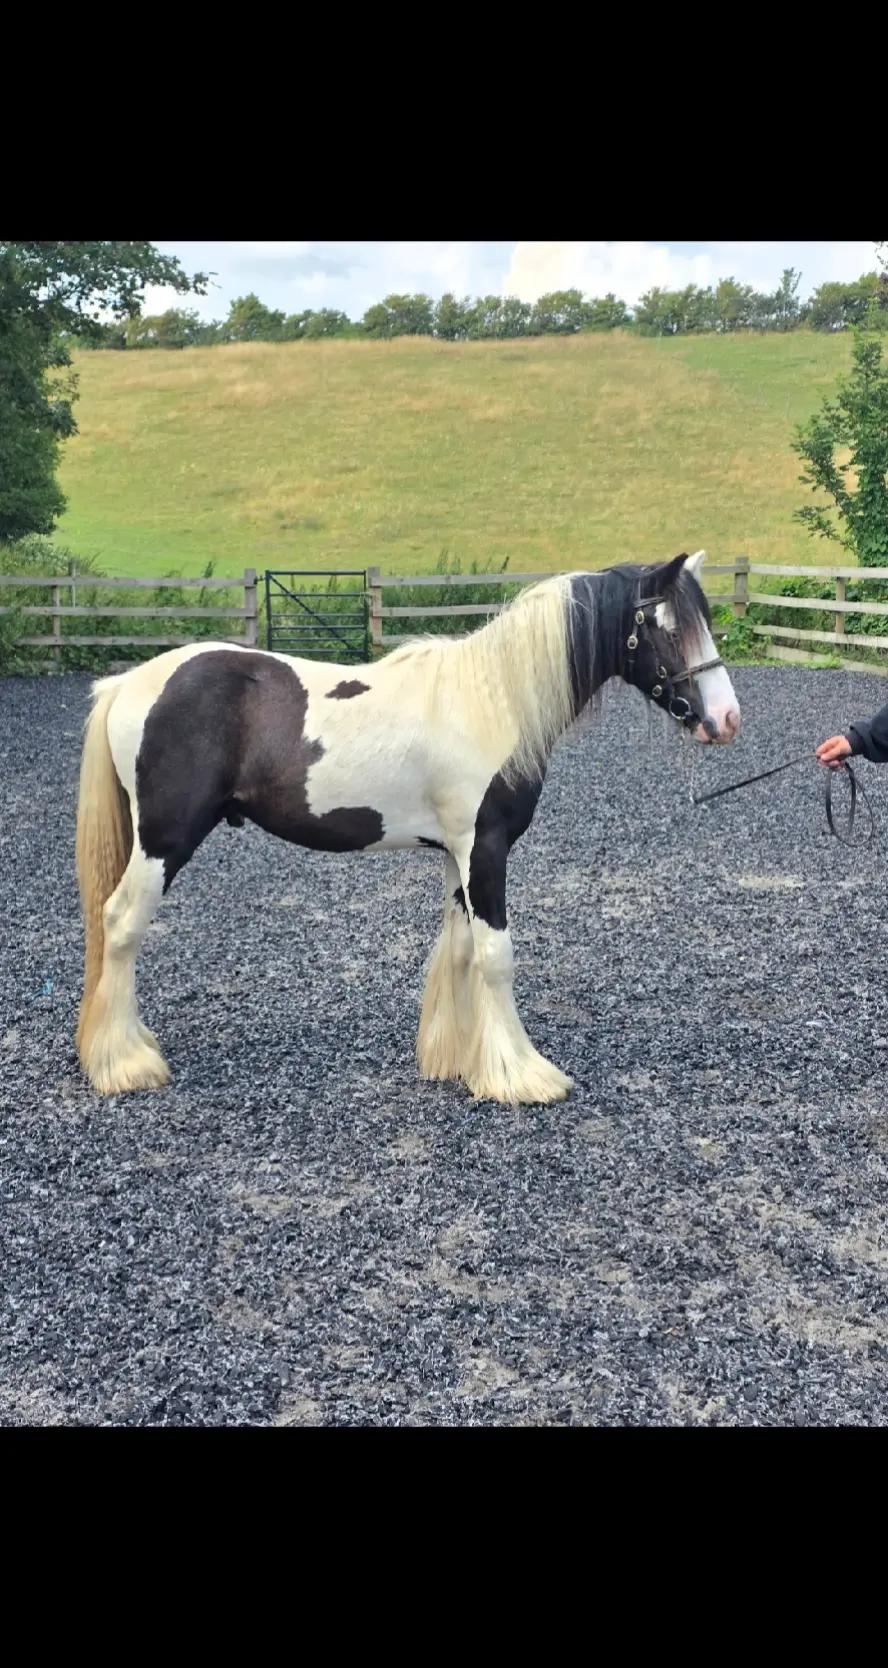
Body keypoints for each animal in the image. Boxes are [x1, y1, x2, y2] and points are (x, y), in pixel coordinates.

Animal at [74, 550, 740, 1105]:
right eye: (666, 626)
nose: (727, 718)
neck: (493, 702)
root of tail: (127, 684)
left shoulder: (457, 852)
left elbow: (460, 949)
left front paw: (459, 1061)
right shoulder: (485, 848)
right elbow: (495, 955)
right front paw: (523, 1076)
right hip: (164, 841)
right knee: (121, 925)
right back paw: (125, 1064)